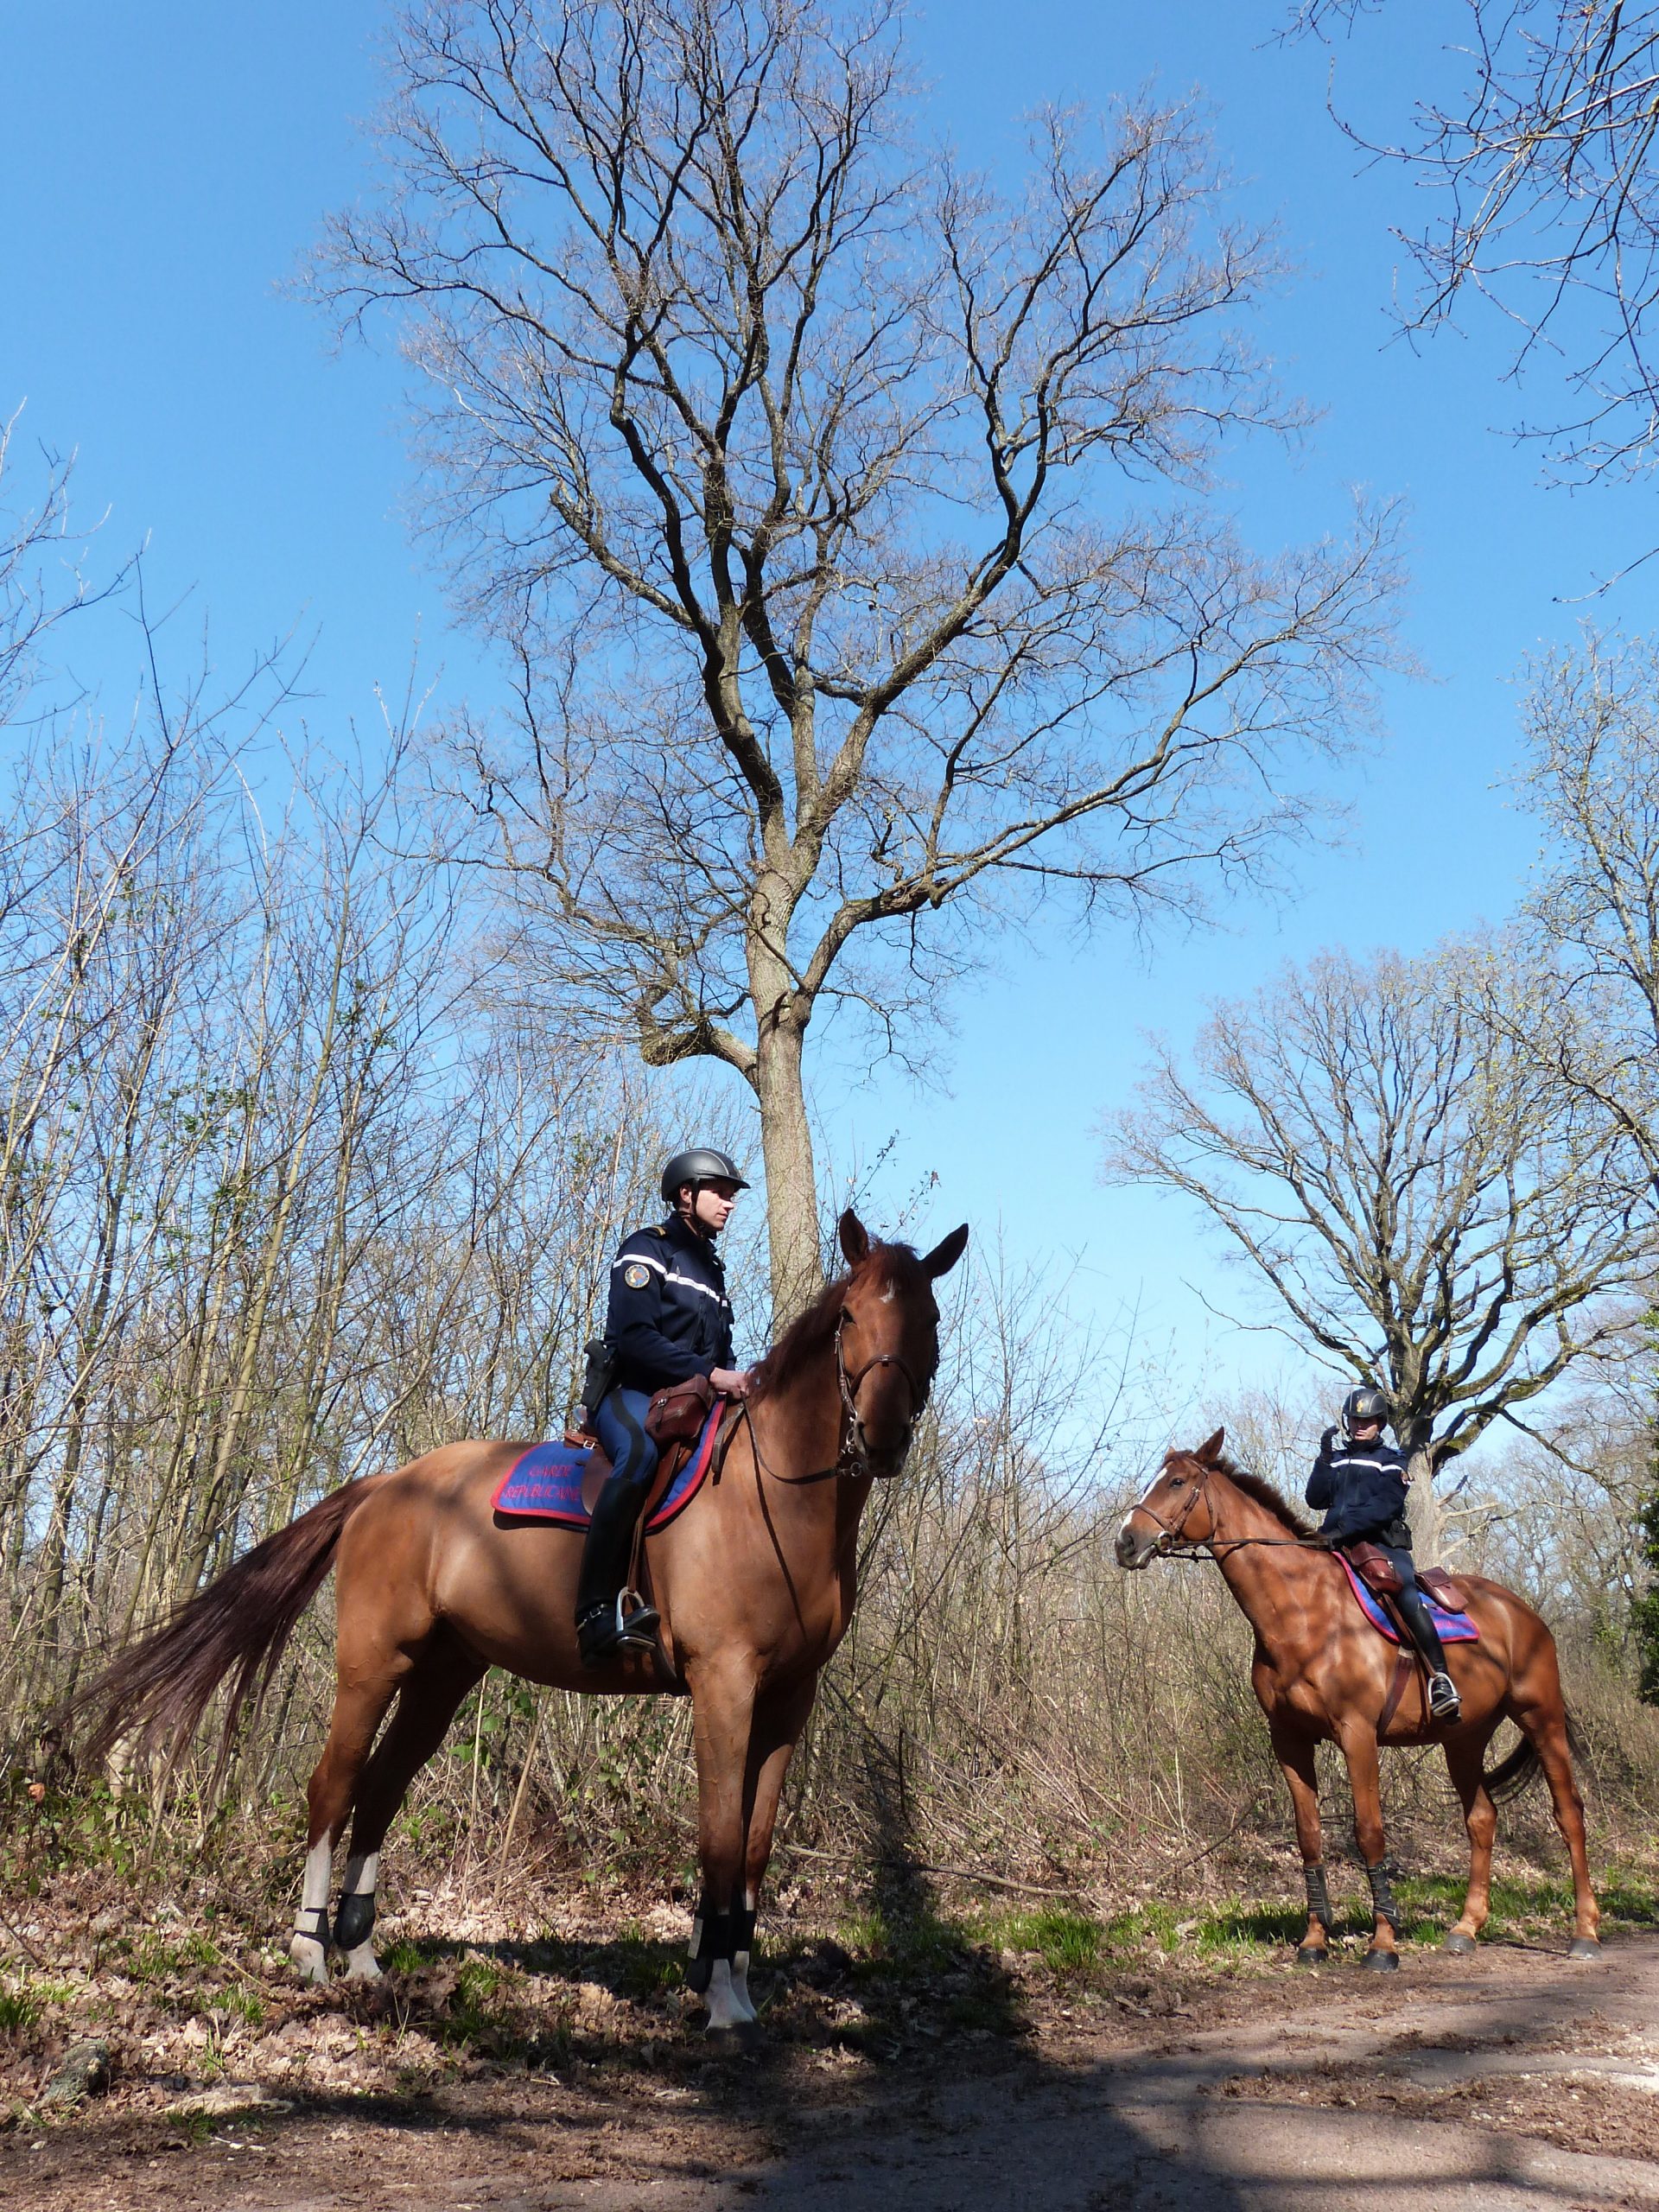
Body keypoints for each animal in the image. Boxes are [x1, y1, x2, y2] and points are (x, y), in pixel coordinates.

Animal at [78, 1221, 969, 2025]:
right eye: (850, 1315)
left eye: (928, 1317)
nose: (883, 1435)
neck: (771, 1497)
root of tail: (384, 1486)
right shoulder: (724, 1685)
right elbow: (718, 1839)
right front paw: (717, 1996)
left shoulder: (788, 1698)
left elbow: (754, 1847)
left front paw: (739, 1986)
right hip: (372, 1665)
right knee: (333, 1787)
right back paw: (308, 1951)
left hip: (443, 1674)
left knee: (383, 1787)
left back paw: (361, 1955)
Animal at [1119, 1433, 1601, 1973]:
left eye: (1178, 1482)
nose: (1126, 1542)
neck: (1303, 1612)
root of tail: (1523, 1612)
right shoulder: (1290, 1741)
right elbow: (1309, 1836)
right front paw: (1314, 1940)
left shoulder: (1358, 1735)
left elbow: (1370, 1832)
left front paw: (1383, 1944)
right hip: (1464, 1738)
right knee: (1481, 1818)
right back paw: (1466, 1928)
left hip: (1542, 1720)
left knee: (1569, 1813)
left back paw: (1584, 1932)